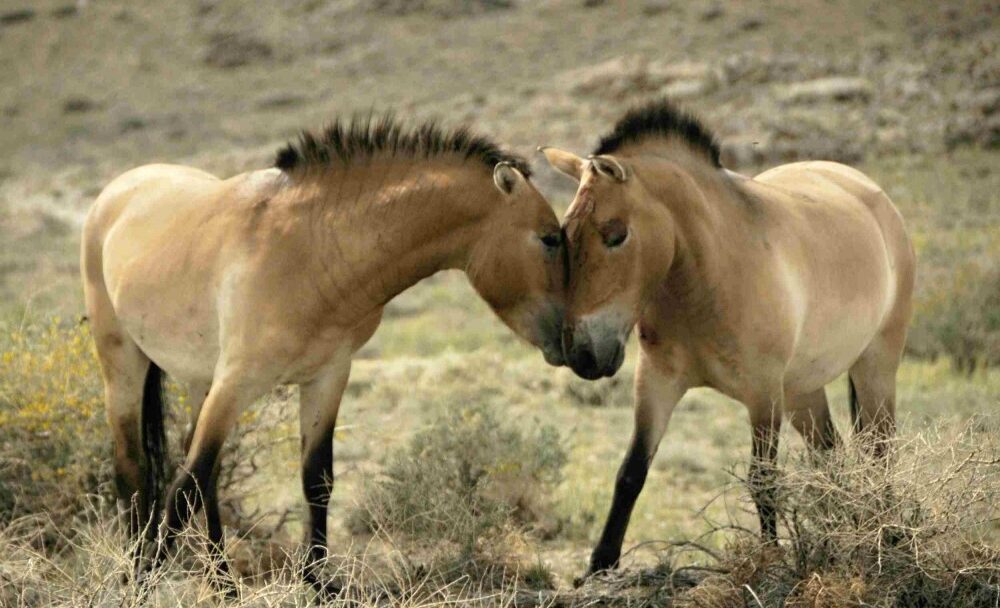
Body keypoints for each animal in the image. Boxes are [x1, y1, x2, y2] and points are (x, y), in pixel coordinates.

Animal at [82, 114, 568, 592]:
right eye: (549, 238)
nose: (575, 345)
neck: (311, 249)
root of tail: (116, 191)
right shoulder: (238, 380)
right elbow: (183, 490)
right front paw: (143, 581)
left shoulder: (327, 377)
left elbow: (316, 480)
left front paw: (316, 581)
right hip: (124, 363)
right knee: (134, 468)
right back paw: (138, 567)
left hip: (202, 380)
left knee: (203, 469)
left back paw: (222, 580)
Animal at [540, 98, 916, 580]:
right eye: (563, 236)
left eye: (616, 235)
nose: (584, 354)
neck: (706, 275)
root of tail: (872, 193)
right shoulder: (657, 381)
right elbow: (631, 471)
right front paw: (599, 565)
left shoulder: (762, 394)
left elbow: (763, 480)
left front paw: (770, 561)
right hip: (802, 391)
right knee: (830, 458)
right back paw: (842, 536)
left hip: (875, 367)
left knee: (880, 454)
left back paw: (888, 538)